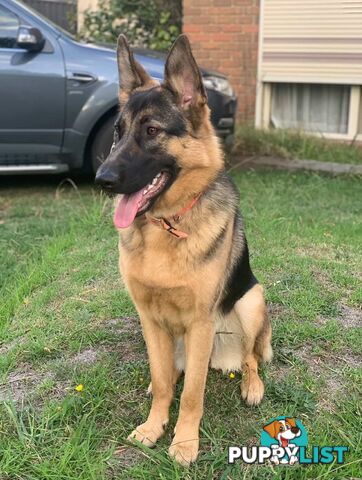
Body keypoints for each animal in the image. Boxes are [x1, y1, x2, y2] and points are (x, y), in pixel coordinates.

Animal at [94, 33, 272, 464]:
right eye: (117, 131)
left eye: (152, 130)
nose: (101, 179)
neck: (166, 226)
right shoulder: (149, 318)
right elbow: (163, 384)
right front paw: (152, 426)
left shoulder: (201, 323)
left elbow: (192, 395)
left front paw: (184, 442)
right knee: (171, 372)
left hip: (251, 301)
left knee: (250, 356)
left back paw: (252, 384)